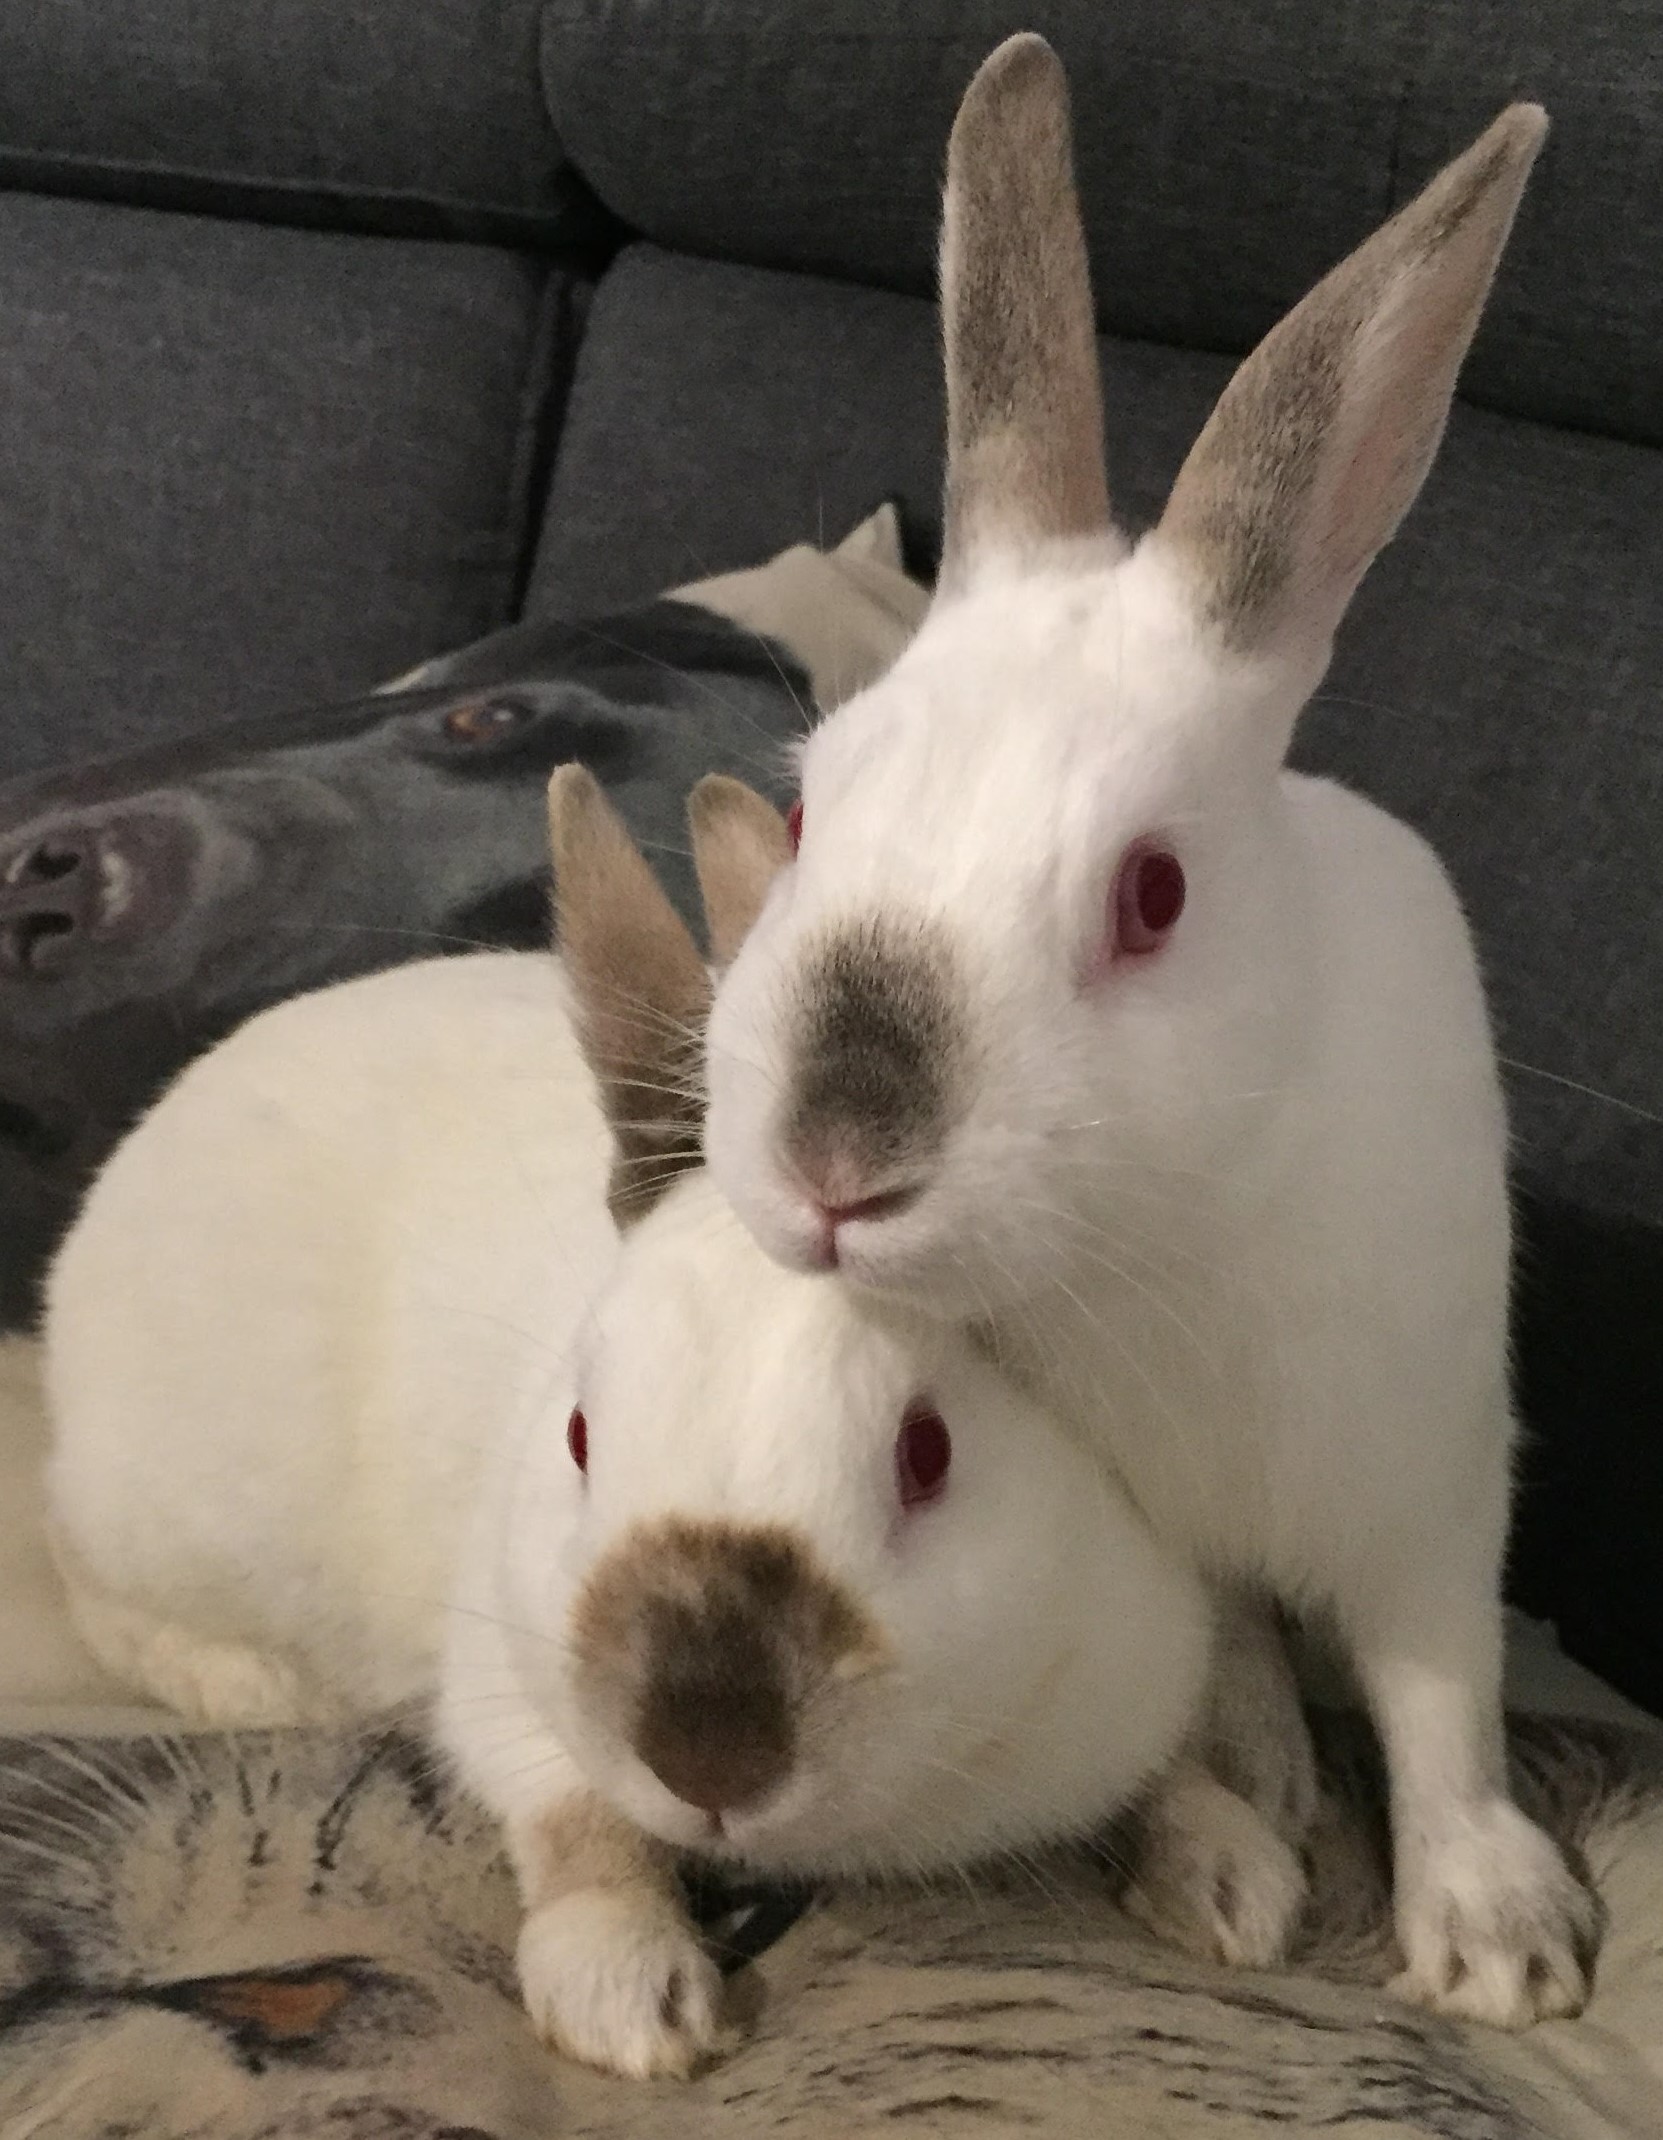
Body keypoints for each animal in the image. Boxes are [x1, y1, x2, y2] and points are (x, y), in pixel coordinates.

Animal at [40, 765, 1212, 2080]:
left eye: (927, 1454)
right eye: (579, 1434)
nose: (709, 1755)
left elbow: (1185, 1756)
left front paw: (1230, 1879)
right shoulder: (501, 1676)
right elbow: (575, 1821)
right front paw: (628, 2002)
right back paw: (261, 1688)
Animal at [700, 34, 1599, 2030]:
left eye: (1152, 894)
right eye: (806, 804)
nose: (834, 1164)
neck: (1170, 1223)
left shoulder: (1430, 1485)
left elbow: (1438, 1703)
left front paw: (1502, 1947)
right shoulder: (1137, 1536)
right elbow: (1189, 1692)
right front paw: (1222, 1865)